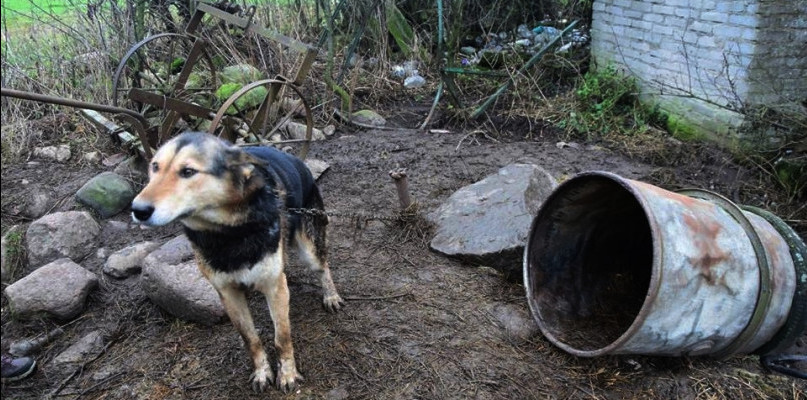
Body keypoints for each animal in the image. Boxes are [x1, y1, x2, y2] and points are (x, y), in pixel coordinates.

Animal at [130, 131, 344, 390]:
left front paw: (287, 374)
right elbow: (251, 339)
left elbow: (282, 337)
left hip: (310, 247)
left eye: (188, 171)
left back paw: (331, 296)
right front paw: (262, 372)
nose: (137, 209)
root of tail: (298, 161)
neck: (229, 233)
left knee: (322, 267)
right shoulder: (228, 294)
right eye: (154, 167)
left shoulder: (274, 288)